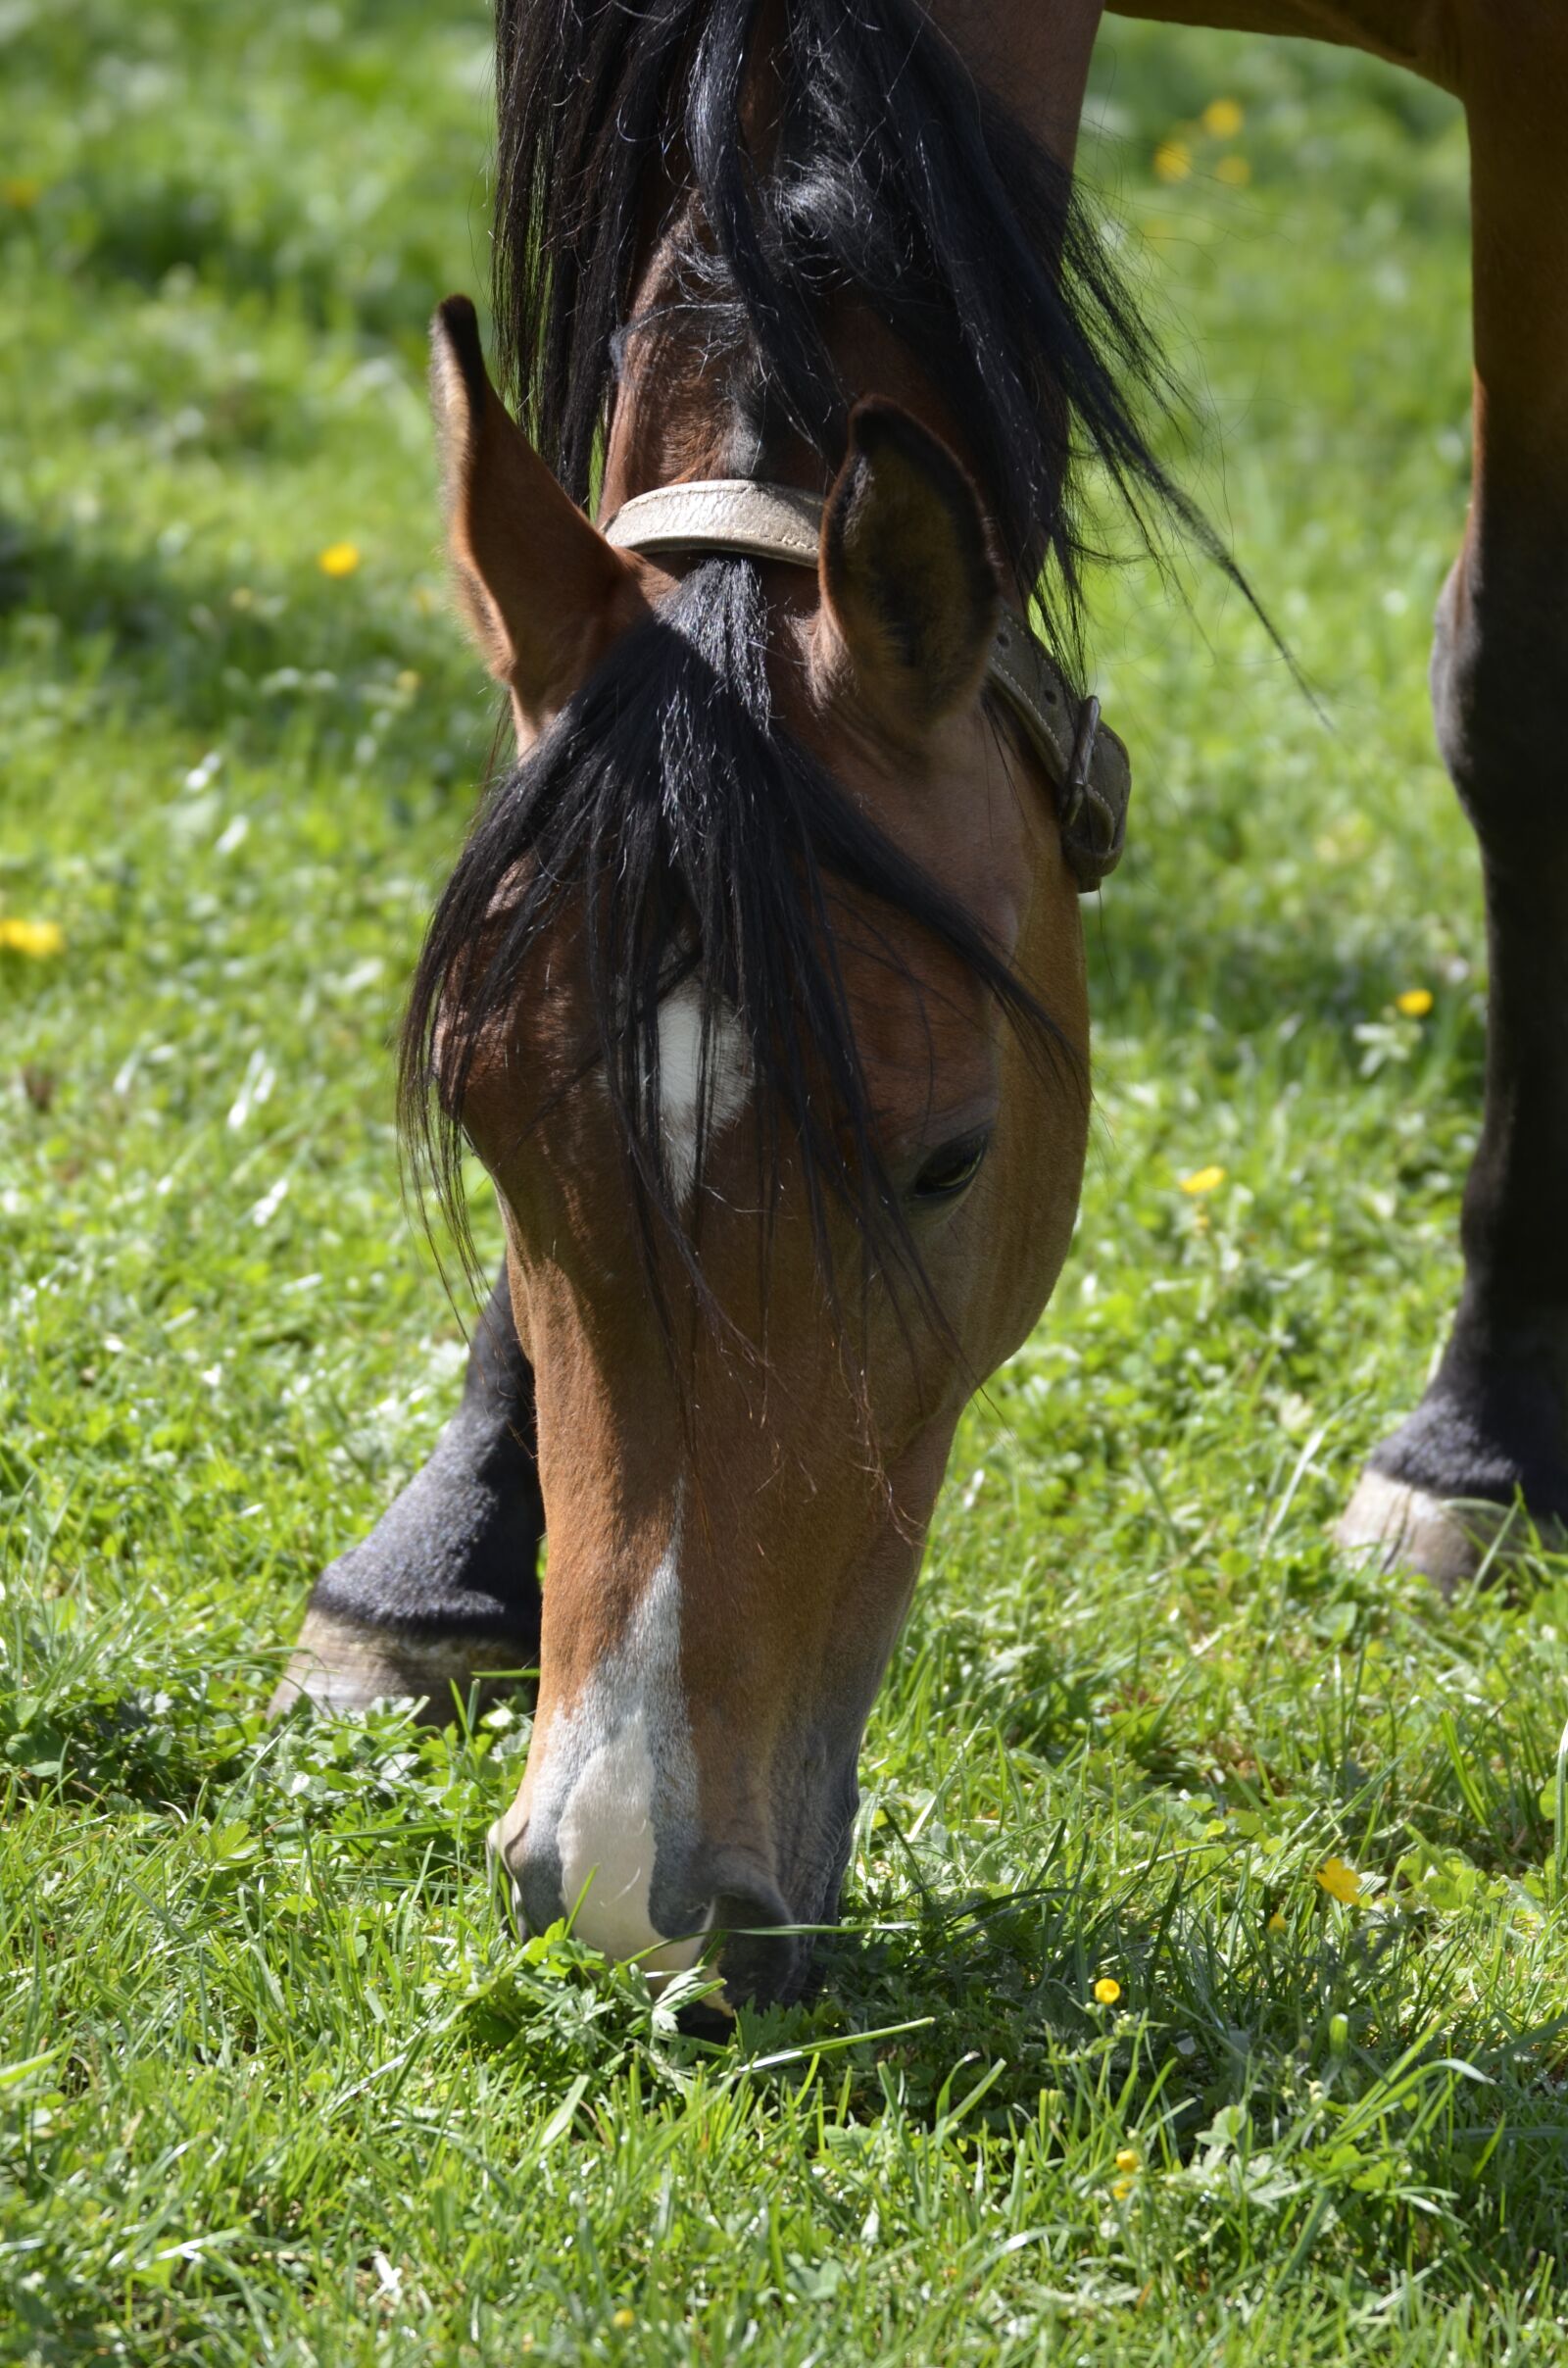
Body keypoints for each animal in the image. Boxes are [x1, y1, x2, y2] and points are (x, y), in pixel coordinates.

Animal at [272, 0, 1568, 2007]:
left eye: (948, 1160)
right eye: (487, 1135)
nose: (635, 1880)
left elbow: (1516, 683)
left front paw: (1480, 1441)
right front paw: (439, 1558)